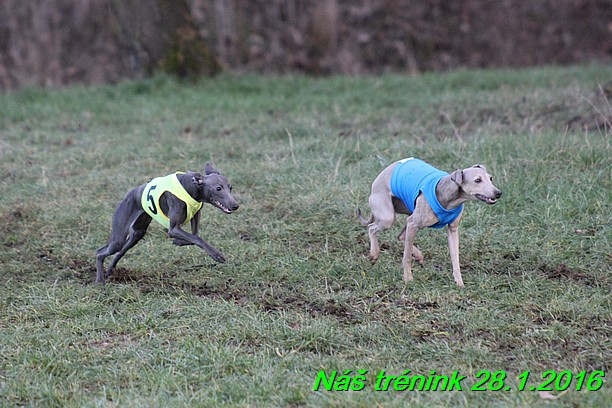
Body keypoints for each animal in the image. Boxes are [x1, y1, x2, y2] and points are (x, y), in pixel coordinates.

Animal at [96, 163, 239, 284]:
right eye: (218, 188)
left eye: (230, 187)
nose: (235, 205)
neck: (190, 186)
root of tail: (128, 195)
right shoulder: (173, 228)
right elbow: (196, 238)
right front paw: (216, 254)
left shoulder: (195, 214)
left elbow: (194, 236)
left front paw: (179, 242)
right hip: (119, 237)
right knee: (100, 252)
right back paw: (100, 280)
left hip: (137, 234)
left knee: (119, 253)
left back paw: (109, 271)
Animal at [358, 156, 502, 286]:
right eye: (477, 180)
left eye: (490, 178)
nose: (498, 193)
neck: (447, 194)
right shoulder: (413, 224)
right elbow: (406, 257)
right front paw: (408, 279)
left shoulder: (453, 231)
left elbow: (455, 260)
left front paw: (459, 283)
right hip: (388, 218)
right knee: (372, 227)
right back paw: (374, 253)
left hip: (408, 212)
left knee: (401, 236)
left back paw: (418, 255)